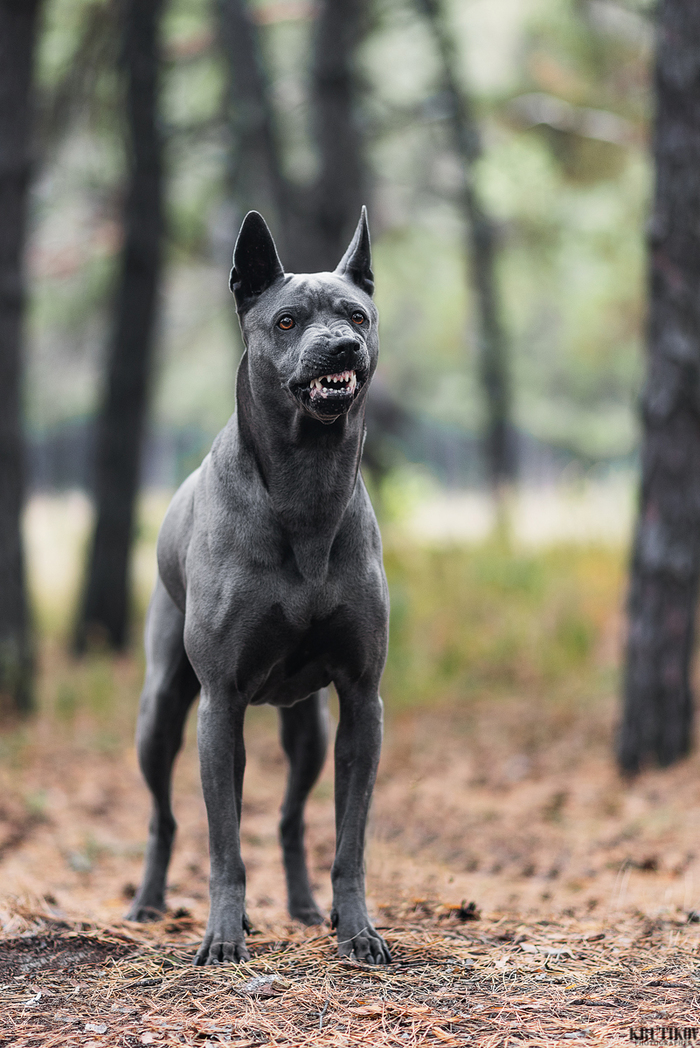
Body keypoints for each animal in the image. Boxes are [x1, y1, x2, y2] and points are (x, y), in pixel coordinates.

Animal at [123, 206, 391, 964]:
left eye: (357, 316)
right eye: (287, 320)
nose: (340, 348)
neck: (308, 486)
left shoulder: (361, 702)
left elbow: (349, 841)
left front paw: (358, 931)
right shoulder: (221, 702)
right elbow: (223, 842)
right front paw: (221, 936)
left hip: (308, 728)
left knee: (290, 820)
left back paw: (304, 907)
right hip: (164, 712)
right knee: (168, 818)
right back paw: (151, 903)